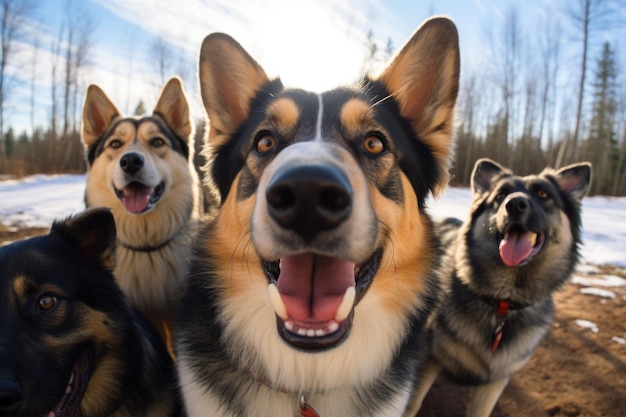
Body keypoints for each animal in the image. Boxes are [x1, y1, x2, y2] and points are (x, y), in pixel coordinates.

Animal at [410, 158, 588, 414]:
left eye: (542, 194)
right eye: (500, 195)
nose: (514, 204)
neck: (502, 303)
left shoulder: (493, 384)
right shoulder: (428, 361)